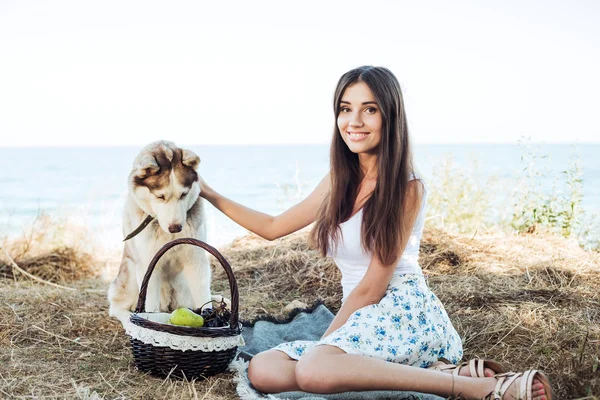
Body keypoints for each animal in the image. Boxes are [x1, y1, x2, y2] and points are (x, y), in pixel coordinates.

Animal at [109, 141, 214, 324]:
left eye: (183, 194)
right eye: (160, 197)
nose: (176, 228)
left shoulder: (196, 261)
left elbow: (204, 297)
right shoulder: (148, 266)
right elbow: (149, 305)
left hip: (183, 288)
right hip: (130, 274)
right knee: (116, 308)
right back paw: (128, 318)